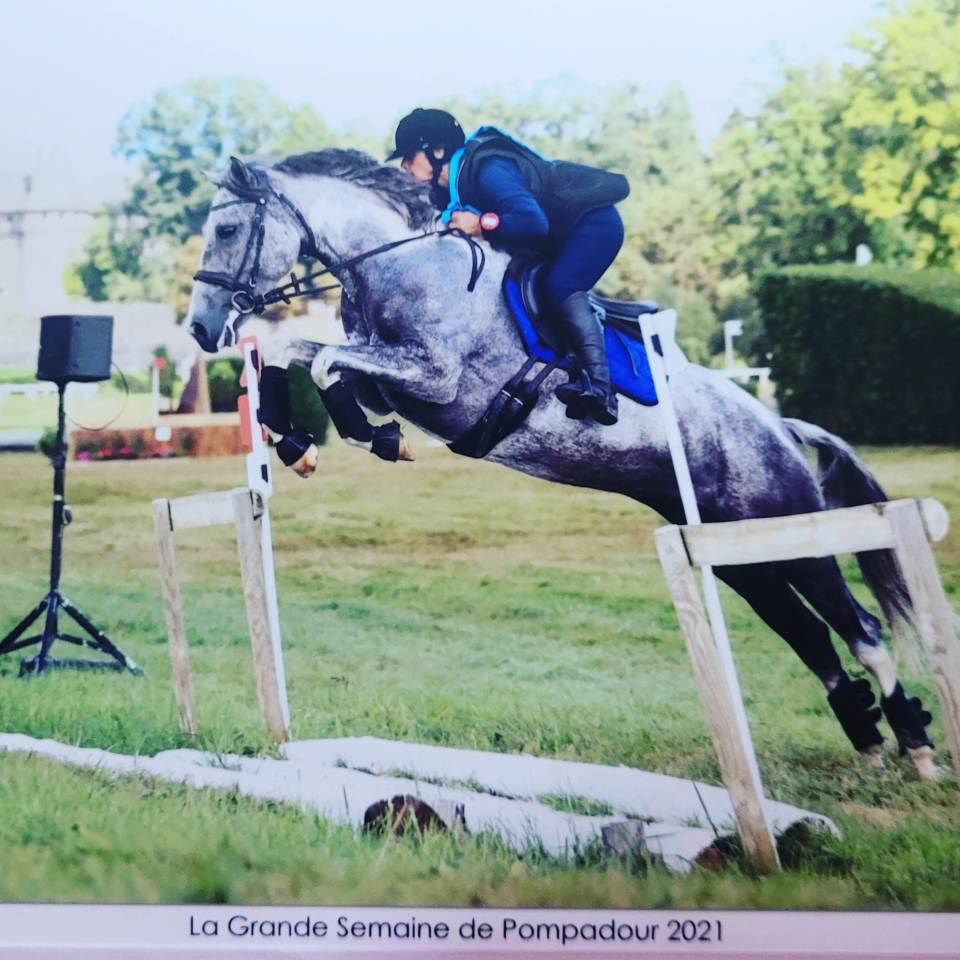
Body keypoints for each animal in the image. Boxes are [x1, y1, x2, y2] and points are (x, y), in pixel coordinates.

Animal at [186, 150, 940, 780]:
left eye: (227, 229)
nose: (199, 329)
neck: (400, 265)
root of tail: (778, 425)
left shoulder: (435, 380)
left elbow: (323, 363)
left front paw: (360, 437)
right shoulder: (393, 377)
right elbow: (293, 354)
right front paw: (300, 441)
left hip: (790, 529)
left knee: (861, 630)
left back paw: (917, 743)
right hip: (736, 552)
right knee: (809, 634)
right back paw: (868, 736)